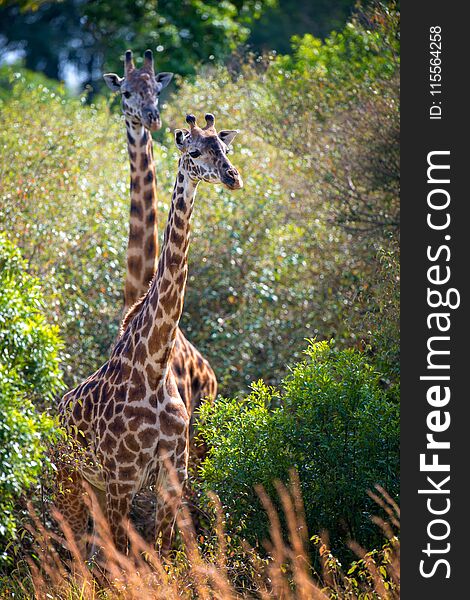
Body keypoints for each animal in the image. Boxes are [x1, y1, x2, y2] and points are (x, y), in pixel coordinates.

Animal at [56, 113, 242, 556]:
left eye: (225, 148)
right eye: (195, 152)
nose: (232, 177)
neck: (154, 366)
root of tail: (55, 413)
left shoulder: (173, 472)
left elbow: (163, 554)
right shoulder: (123, 477)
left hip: (98, 486)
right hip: (68, 479)